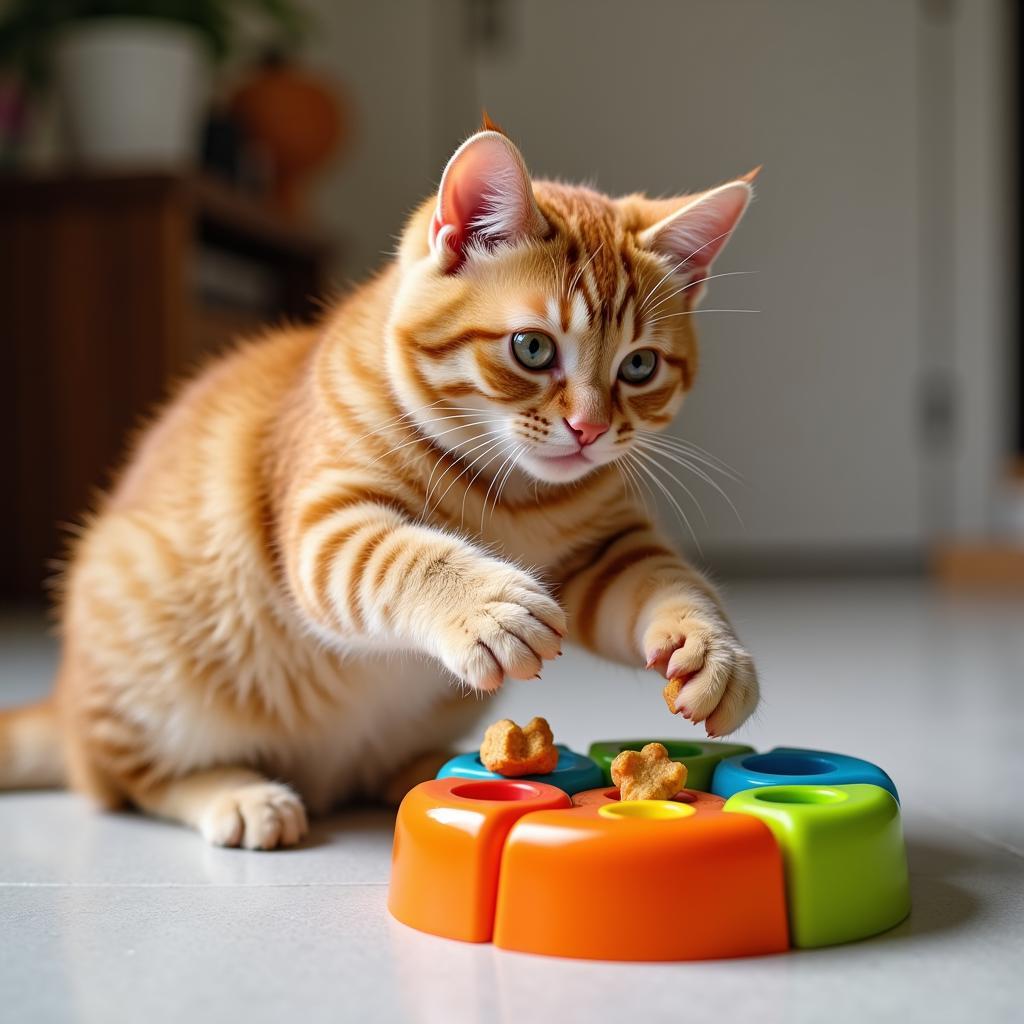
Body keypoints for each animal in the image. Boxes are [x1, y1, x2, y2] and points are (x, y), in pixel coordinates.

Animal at [0, 121, 761, 847]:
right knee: (130, 782)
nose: (589, 429)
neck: (515, 494)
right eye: (532, 348)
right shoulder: (325, 528)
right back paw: (238, 795)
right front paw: (488, 605)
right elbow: (408, 557)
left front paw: (714, 653)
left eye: (639, 367)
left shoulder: (609, 548)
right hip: (140, 661)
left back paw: (441, 769)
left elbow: (668, 581)